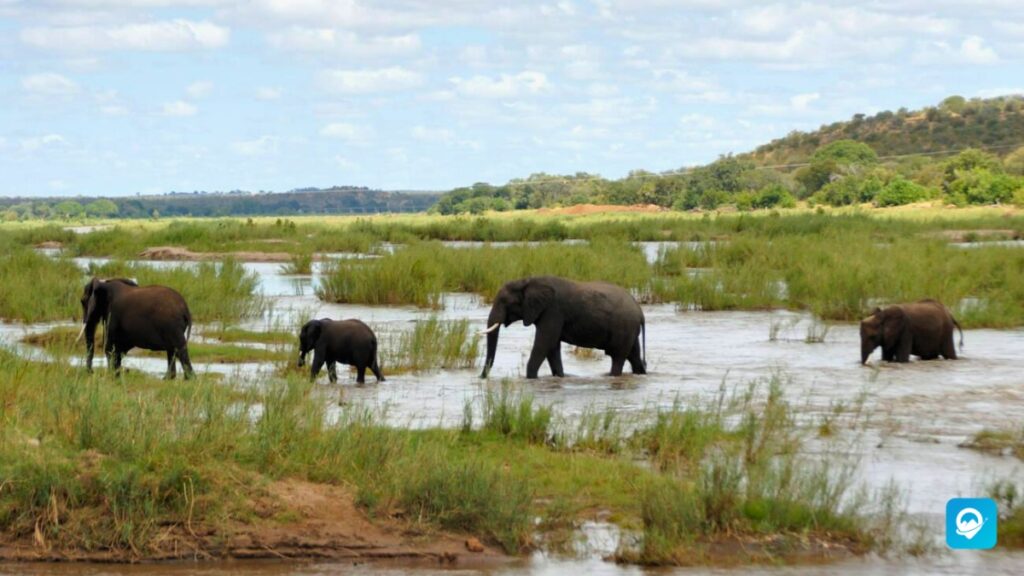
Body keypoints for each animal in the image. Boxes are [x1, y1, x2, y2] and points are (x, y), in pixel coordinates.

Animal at [477, 276, 643, 379]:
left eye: (505, 301)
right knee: (634, 356)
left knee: (618, 357)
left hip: (624, 327)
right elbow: (552, 347)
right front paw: (559, 377)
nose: (481, 378)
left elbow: (544, 344)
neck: (528, 281)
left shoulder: (553, 310)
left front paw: (531, 378)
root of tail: (639, 310)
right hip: (630, 330)